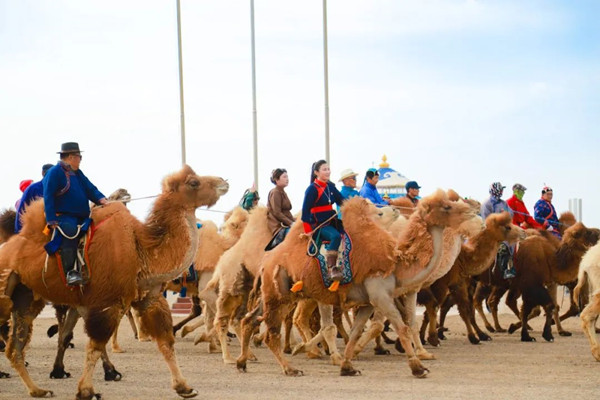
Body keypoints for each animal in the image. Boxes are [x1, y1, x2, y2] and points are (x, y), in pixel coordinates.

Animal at [0, 165, 229, 396]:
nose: (223, 181)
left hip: (27, 297)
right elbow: (95, 346)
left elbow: (165, 342)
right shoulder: (106, 302)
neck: (142, 251)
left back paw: (37, 390)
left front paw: (184, 386)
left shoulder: (149, 298)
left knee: (15, 347)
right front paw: (86, 390)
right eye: (193, 182)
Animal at [237, 191, 476, 378]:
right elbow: (401, 327)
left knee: (249, 319)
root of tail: (265, 262)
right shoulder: (381, 295)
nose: (472, 212)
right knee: (272, 331)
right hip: (281, 295)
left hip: (272, 294)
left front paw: (347, 366)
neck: (396, 264)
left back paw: (243, 361)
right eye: (447, 206)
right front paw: (418, 367)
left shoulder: (369, 302)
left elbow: (356, 332)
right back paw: (290, 367)